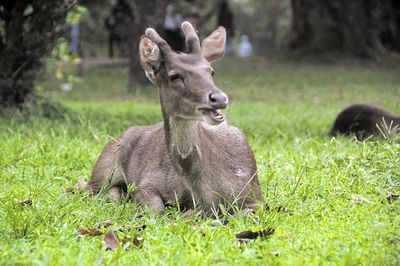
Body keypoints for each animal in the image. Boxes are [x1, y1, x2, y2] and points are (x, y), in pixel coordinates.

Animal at [84, 21, 262, 216]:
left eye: (211, 72)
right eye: (174, 76)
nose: (219, 98)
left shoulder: (255, 196)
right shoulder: (146, 182)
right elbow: (157, 208)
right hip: (102, 169)